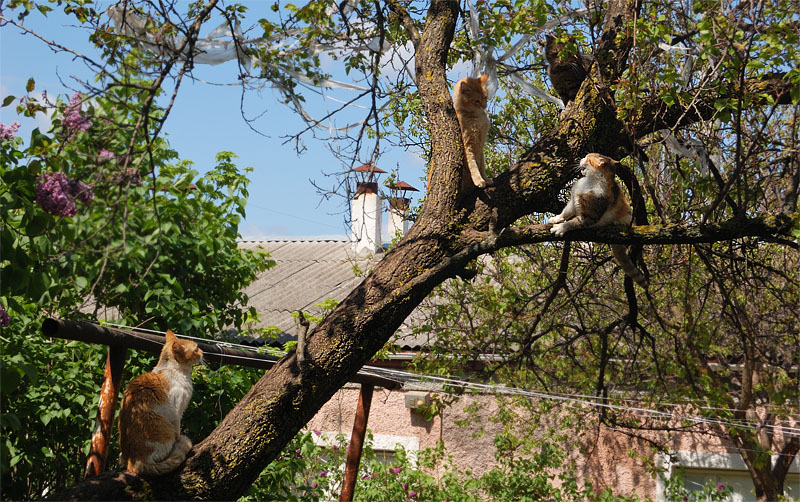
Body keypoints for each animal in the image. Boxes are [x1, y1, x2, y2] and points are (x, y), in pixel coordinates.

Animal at [120, 330, 206, 474]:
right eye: (196, 349)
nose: (203, 352)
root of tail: (134, 462)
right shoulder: (177, 411)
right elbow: (178, 429)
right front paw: (179, 439)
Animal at [552, 151, 648, 288]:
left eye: (587, 157)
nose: (580, 158)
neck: (590, 181)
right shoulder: (574, 201)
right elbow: (566, 212)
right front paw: (556, 218)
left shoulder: (589, 217)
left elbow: (572, 222)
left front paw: (561, 227)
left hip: (626, 216)